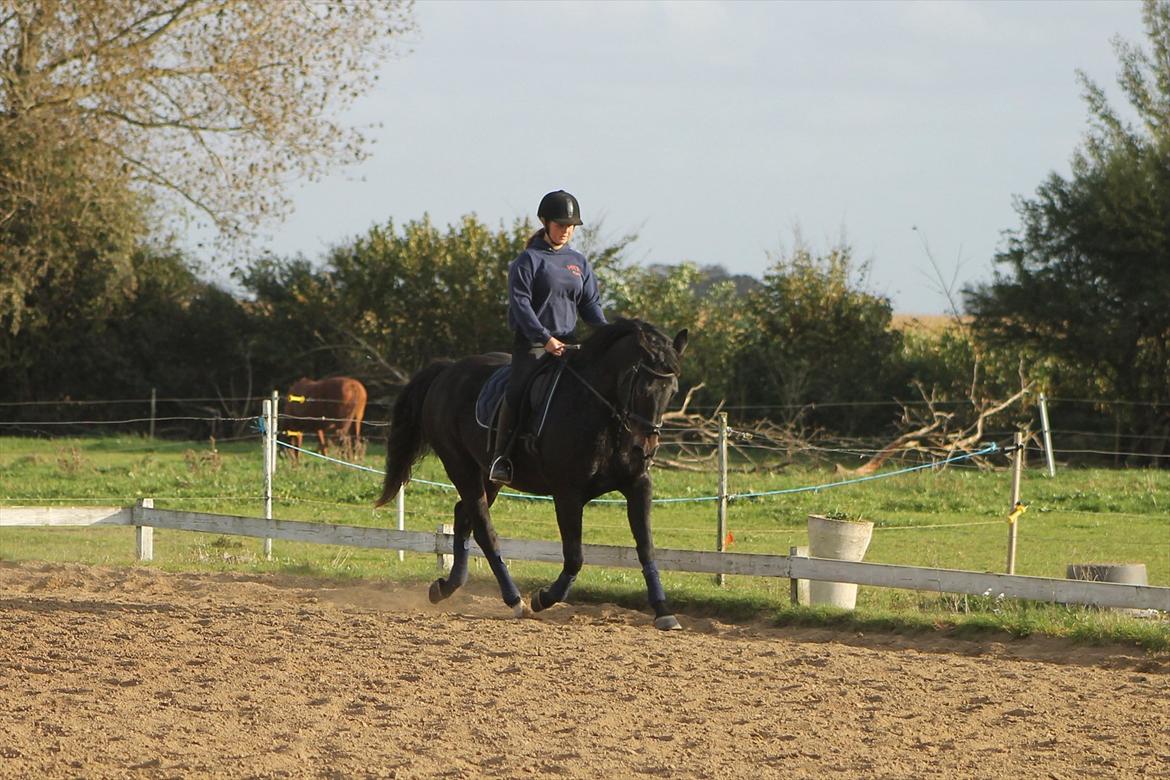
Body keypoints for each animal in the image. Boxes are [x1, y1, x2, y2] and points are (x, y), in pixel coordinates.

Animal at [374, 320, 683, 631]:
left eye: (673, 390)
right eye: (642, 387)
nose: (645, 448)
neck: (600, 413)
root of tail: (447, 371)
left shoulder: (638, 485)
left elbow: (646, 547)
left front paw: (663, 611)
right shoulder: (568, 493)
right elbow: (575, 556)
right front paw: (543, 598)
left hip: (488, 477)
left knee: (463, 516)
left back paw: (446, 587)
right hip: (461, 467)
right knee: (484, 529)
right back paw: (514, 600)